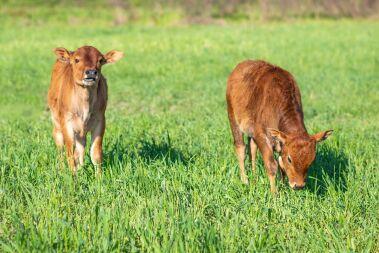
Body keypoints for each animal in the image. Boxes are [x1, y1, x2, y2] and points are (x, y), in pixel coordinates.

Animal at [47, 45, 123, 174]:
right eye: (77, 60)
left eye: (100, 60)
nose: (91, 72)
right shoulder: (67, 122)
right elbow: (70, 152)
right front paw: (72, 176)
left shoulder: (100, 121)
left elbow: (95, 153)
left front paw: (99, 177)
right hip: (56, 123)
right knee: (60, 146)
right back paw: (62, 169)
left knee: (81, 147)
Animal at [227, 60, 334, 193]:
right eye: (289, 159)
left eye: (312, 160)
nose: (298, 185)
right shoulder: (262, 135)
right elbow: (272, 165)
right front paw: (275, 194)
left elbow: (281, 166)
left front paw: (283, 188)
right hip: (233, 118)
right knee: (241, 148)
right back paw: (245, 180)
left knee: (252, 148)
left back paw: (254, 176)